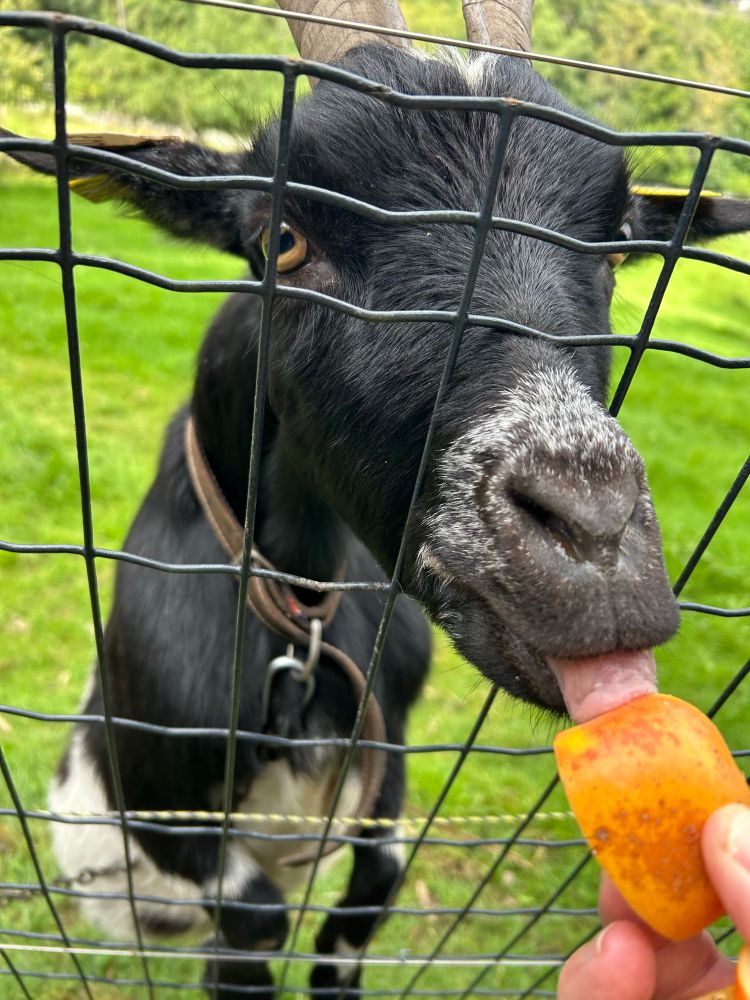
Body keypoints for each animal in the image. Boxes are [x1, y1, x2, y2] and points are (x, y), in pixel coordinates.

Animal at [5, 1, 750, 997]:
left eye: (621, 248)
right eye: (281, 237)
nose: (593, 546)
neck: (299, 620)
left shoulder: (385, 764)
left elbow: (370, 892)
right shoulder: (157, 800)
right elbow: (254, 919)